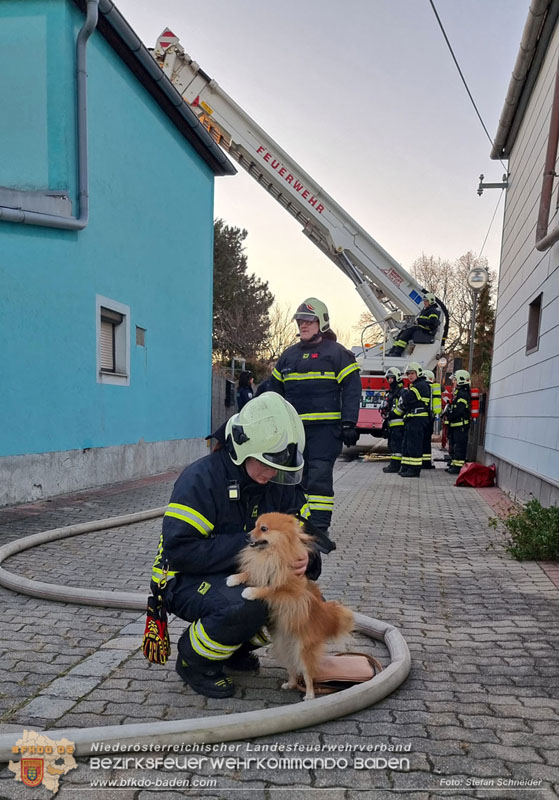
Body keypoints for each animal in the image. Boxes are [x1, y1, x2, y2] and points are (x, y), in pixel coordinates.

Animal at [225, 512, 352, 700]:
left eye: (263, 528)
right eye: (254, 526)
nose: (247, 536)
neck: (271, 554)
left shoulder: (291, 592)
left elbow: (271, 589)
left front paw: (250, 591)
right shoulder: (261, 569)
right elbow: (250, 573)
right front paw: (235, 578)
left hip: (303, 651)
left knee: (307, 675)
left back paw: (309, 695)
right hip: (284, 650)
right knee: (292, 669)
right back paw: (290, 684)